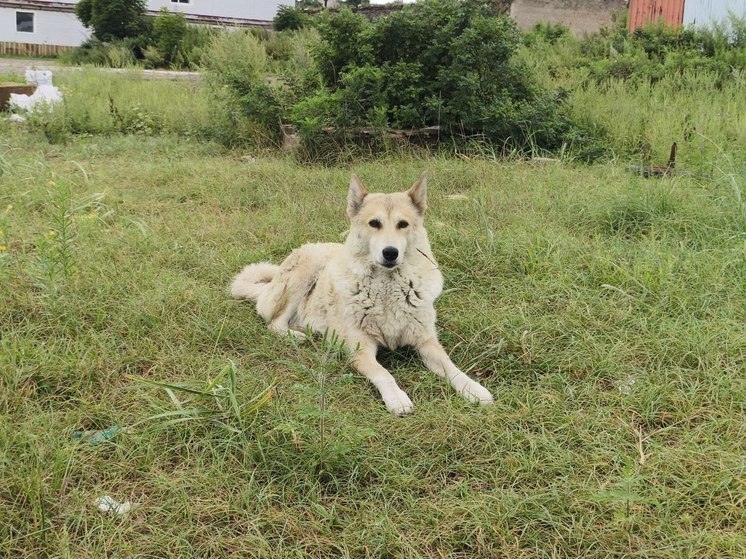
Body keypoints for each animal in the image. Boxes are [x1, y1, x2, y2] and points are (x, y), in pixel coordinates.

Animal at [230, 175, 492, 416]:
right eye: (374, 223)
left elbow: (451, 367)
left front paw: (473, 388)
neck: (388, 289)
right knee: (274, 323)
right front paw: (397, 398)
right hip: (306, 270)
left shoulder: (427, 342)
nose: (390, 252)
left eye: (403, 224)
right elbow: (384, 373)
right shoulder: (361, 350)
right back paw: (297, 336)